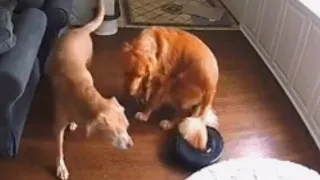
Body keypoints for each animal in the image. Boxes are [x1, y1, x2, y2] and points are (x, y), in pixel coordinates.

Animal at [47, 0, 132, 179]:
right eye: (114, 133)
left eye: (127, 127)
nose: (130, 144)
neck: (85, 95)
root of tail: (80, 29)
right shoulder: (58, 127)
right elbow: (59, 149)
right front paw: (61, 167)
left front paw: (73, 123)